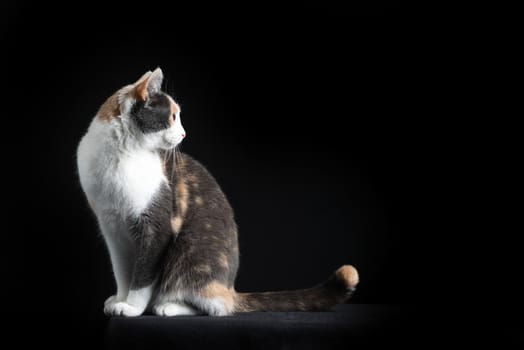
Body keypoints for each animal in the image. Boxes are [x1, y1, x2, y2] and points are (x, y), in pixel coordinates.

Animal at [75, 68, 358, 318]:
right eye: (173, 116)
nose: (183, 133)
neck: (123, 153)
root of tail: (230, 288)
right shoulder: (113, 228)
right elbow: (123, 271)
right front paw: (120, 299)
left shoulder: (157, 227)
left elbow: (143, 274)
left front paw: (132, 307)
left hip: (190, 252)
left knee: (216, 306)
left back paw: (168, 306)